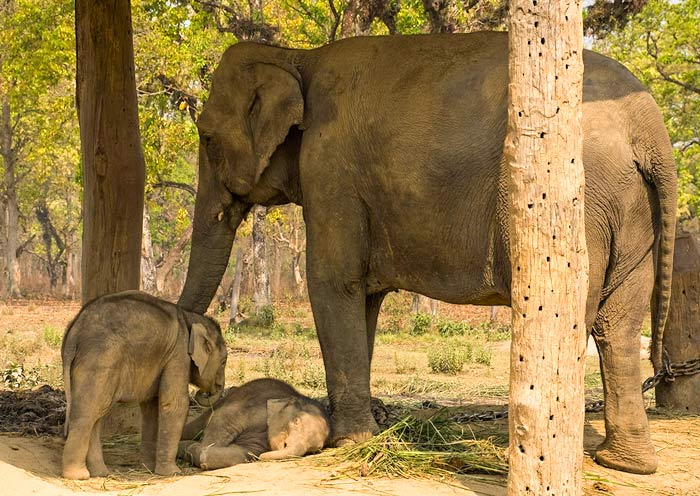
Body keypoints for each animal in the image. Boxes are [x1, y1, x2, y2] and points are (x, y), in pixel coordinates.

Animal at [61, 290, 228, 479]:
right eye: (224, 362)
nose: (204, 392)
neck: (190, 317)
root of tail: (73, 332)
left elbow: (151, 407)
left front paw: (148, 467)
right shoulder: (178, 352)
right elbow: (174, 403)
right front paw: (172, 473)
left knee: (96, 413)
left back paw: (100, 473)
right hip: (99, 360)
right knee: (87, 414)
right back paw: (78, 476)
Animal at [178, 378, 329, 469]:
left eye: (314, 450)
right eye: (296, 421)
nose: (261, 458)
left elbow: (241, 452)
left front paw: (196, 451)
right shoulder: (256, 408)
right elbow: (223, 418)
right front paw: (199, 447)